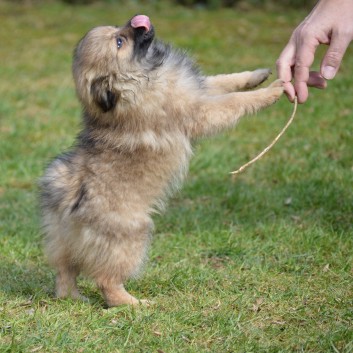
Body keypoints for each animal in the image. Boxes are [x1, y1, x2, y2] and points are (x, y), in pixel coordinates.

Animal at [39, 14, 284, 306]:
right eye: (120, 42)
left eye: (116, 31)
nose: (135, 21)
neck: (141, 76)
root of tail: (69, 200)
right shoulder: (200, 111)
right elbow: (235, 100)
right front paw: (273, 90)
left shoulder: (198, 89)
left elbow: (225, 80)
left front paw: (258, 75)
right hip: (131, 237)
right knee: (107, 281)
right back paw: (135, 305)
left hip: (62, 243)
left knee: (65, 273)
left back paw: (74, 298)